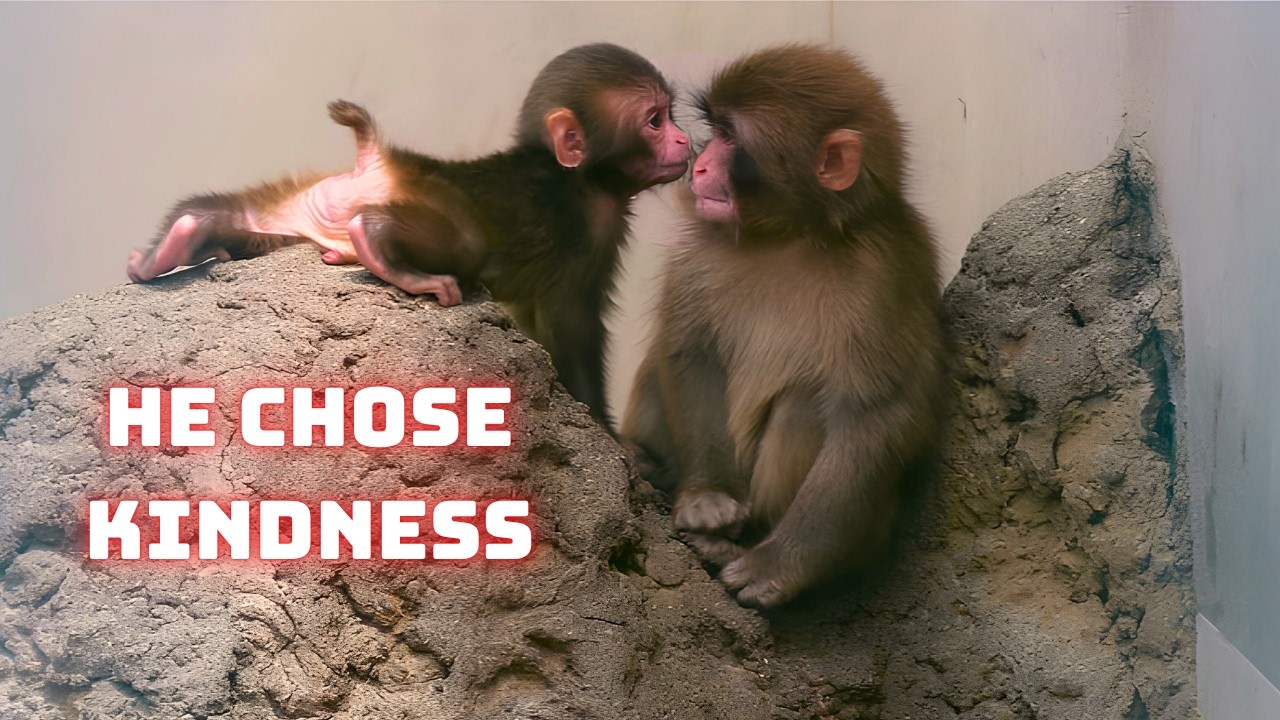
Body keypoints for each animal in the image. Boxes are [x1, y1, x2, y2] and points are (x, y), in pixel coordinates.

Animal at [126, 43, 690, 423]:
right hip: (429, 202)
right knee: (464, 243)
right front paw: (605, 429)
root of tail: (385, 159)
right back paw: (384, 250)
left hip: (307, 201)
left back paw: (176, 242)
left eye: (671, 114)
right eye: (655, 121)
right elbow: (571, 327)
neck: (577, 176)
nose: (684, 139)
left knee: (243, 217)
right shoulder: (589, 228)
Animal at [622, 44, 949, 609]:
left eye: (732, 137)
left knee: (804, 406)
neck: (792, 235)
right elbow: (692, 352)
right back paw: (656, 469)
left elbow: (878, 413)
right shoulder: (699, 251)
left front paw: (781, 565)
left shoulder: (886, 274)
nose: (699, 163)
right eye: (716, 130)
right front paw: (706, 497)